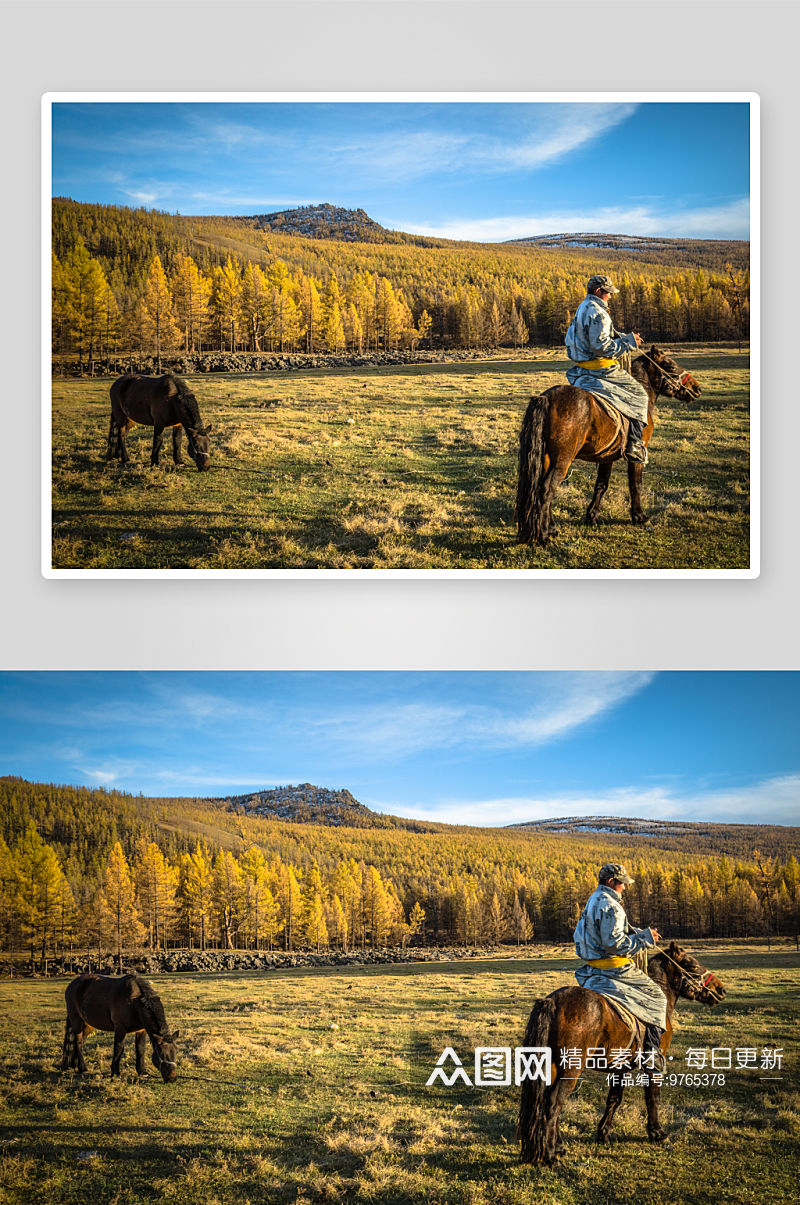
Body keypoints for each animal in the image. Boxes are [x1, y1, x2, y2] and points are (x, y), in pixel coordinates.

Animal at [515, 347, 698, 549]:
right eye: (670, 365)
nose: (697, 388)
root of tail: (547, 397)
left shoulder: (607, 457)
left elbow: (601, 485)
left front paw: (591, 517)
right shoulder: (637, 457)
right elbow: (636, 484)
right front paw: (639, 516)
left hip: (549, 458)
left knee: (542, 488)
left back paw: (551, 529)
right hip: (563, 460)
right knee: (547, 489)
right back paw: (544, 537)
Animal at [518, 944, 722, 1161]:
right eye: (693, 965)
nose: (721, 989)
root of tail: (553, 1000)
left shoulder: (620, 1068)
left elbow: (614, 1099)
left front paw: (603, 1134)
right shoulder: (653, 1065)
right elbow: (653, 1097)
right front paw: (657, 1133)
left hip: (553, 1067)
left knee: (547, 1101)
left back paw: (558, 1147)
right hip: (571, 1069)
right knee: (553, 1103)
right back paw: (550, 1154)